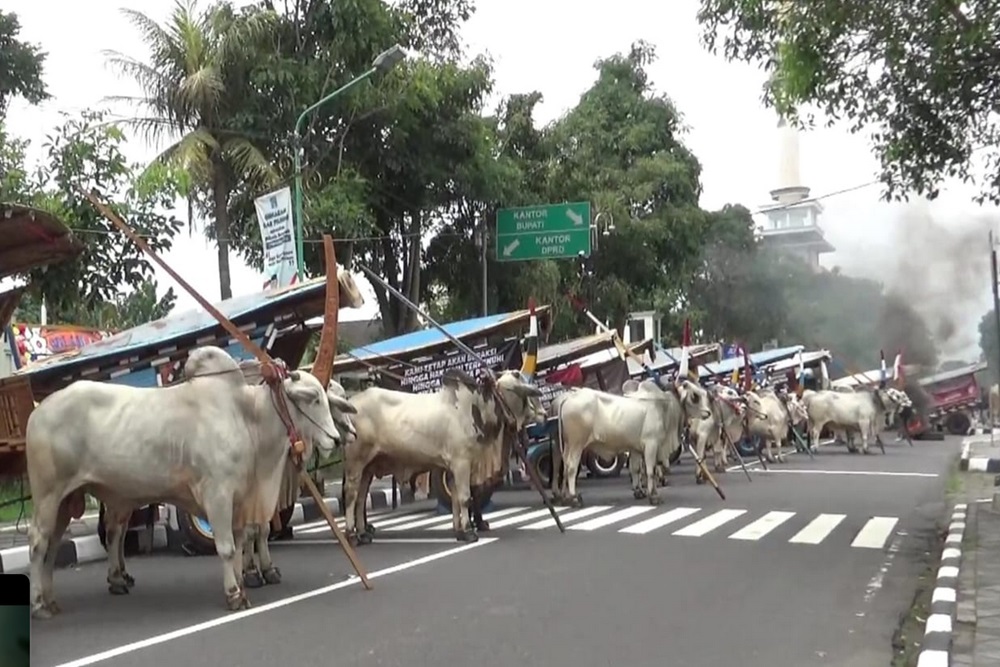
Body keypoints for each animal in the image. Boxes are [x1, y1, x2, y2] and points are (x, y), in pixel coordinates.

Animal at [25, 348, 340, 620]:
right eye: (314, 398)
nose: (336, 439)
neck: (247, 416)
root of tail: (38, 411)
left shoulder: (240, 501)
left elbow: (240, 544)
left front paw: (243, 582)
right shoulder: (218, 496)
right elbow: (226, 548)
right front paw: (234, 594)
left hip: (66, 501)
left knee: (56, 545)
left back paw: (53, 600)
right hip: (48, 495)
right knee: (38, 543)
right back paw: (39, 604)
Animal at [340, 368, 544, 544]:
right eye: (518, 377)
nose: (543, 413)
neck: (474, 408)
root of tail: (351, 402)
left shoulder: (453, 468)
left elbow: (456, 500)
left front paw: (459, 530)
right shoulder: (462, 463)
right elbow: (465, 497)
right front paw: (469, 532)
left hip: (368, 468)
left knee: (360, 499)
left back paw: (363, 533)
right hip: (355, 462)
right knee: (350, 495)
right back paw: (351, 535)